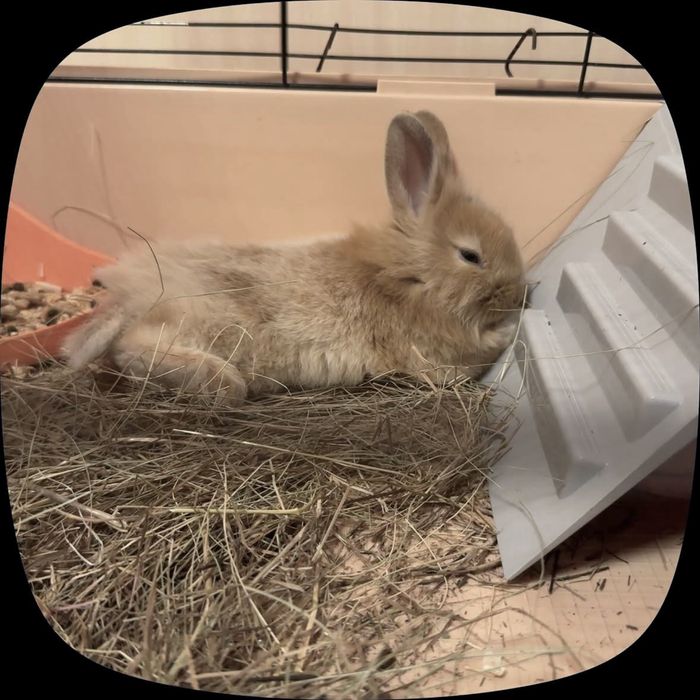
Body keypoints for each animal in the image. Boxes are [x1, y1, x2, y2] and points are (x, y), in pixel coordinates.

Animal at [62, 110, 526, 405]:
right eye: (471, 255)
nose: (519, 293)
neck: (404, 275)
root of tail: (131, 295)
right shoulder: (435, 360)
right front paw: (510, 328)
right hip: (207, 327)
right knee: (132, 347)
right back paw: (220, 381)